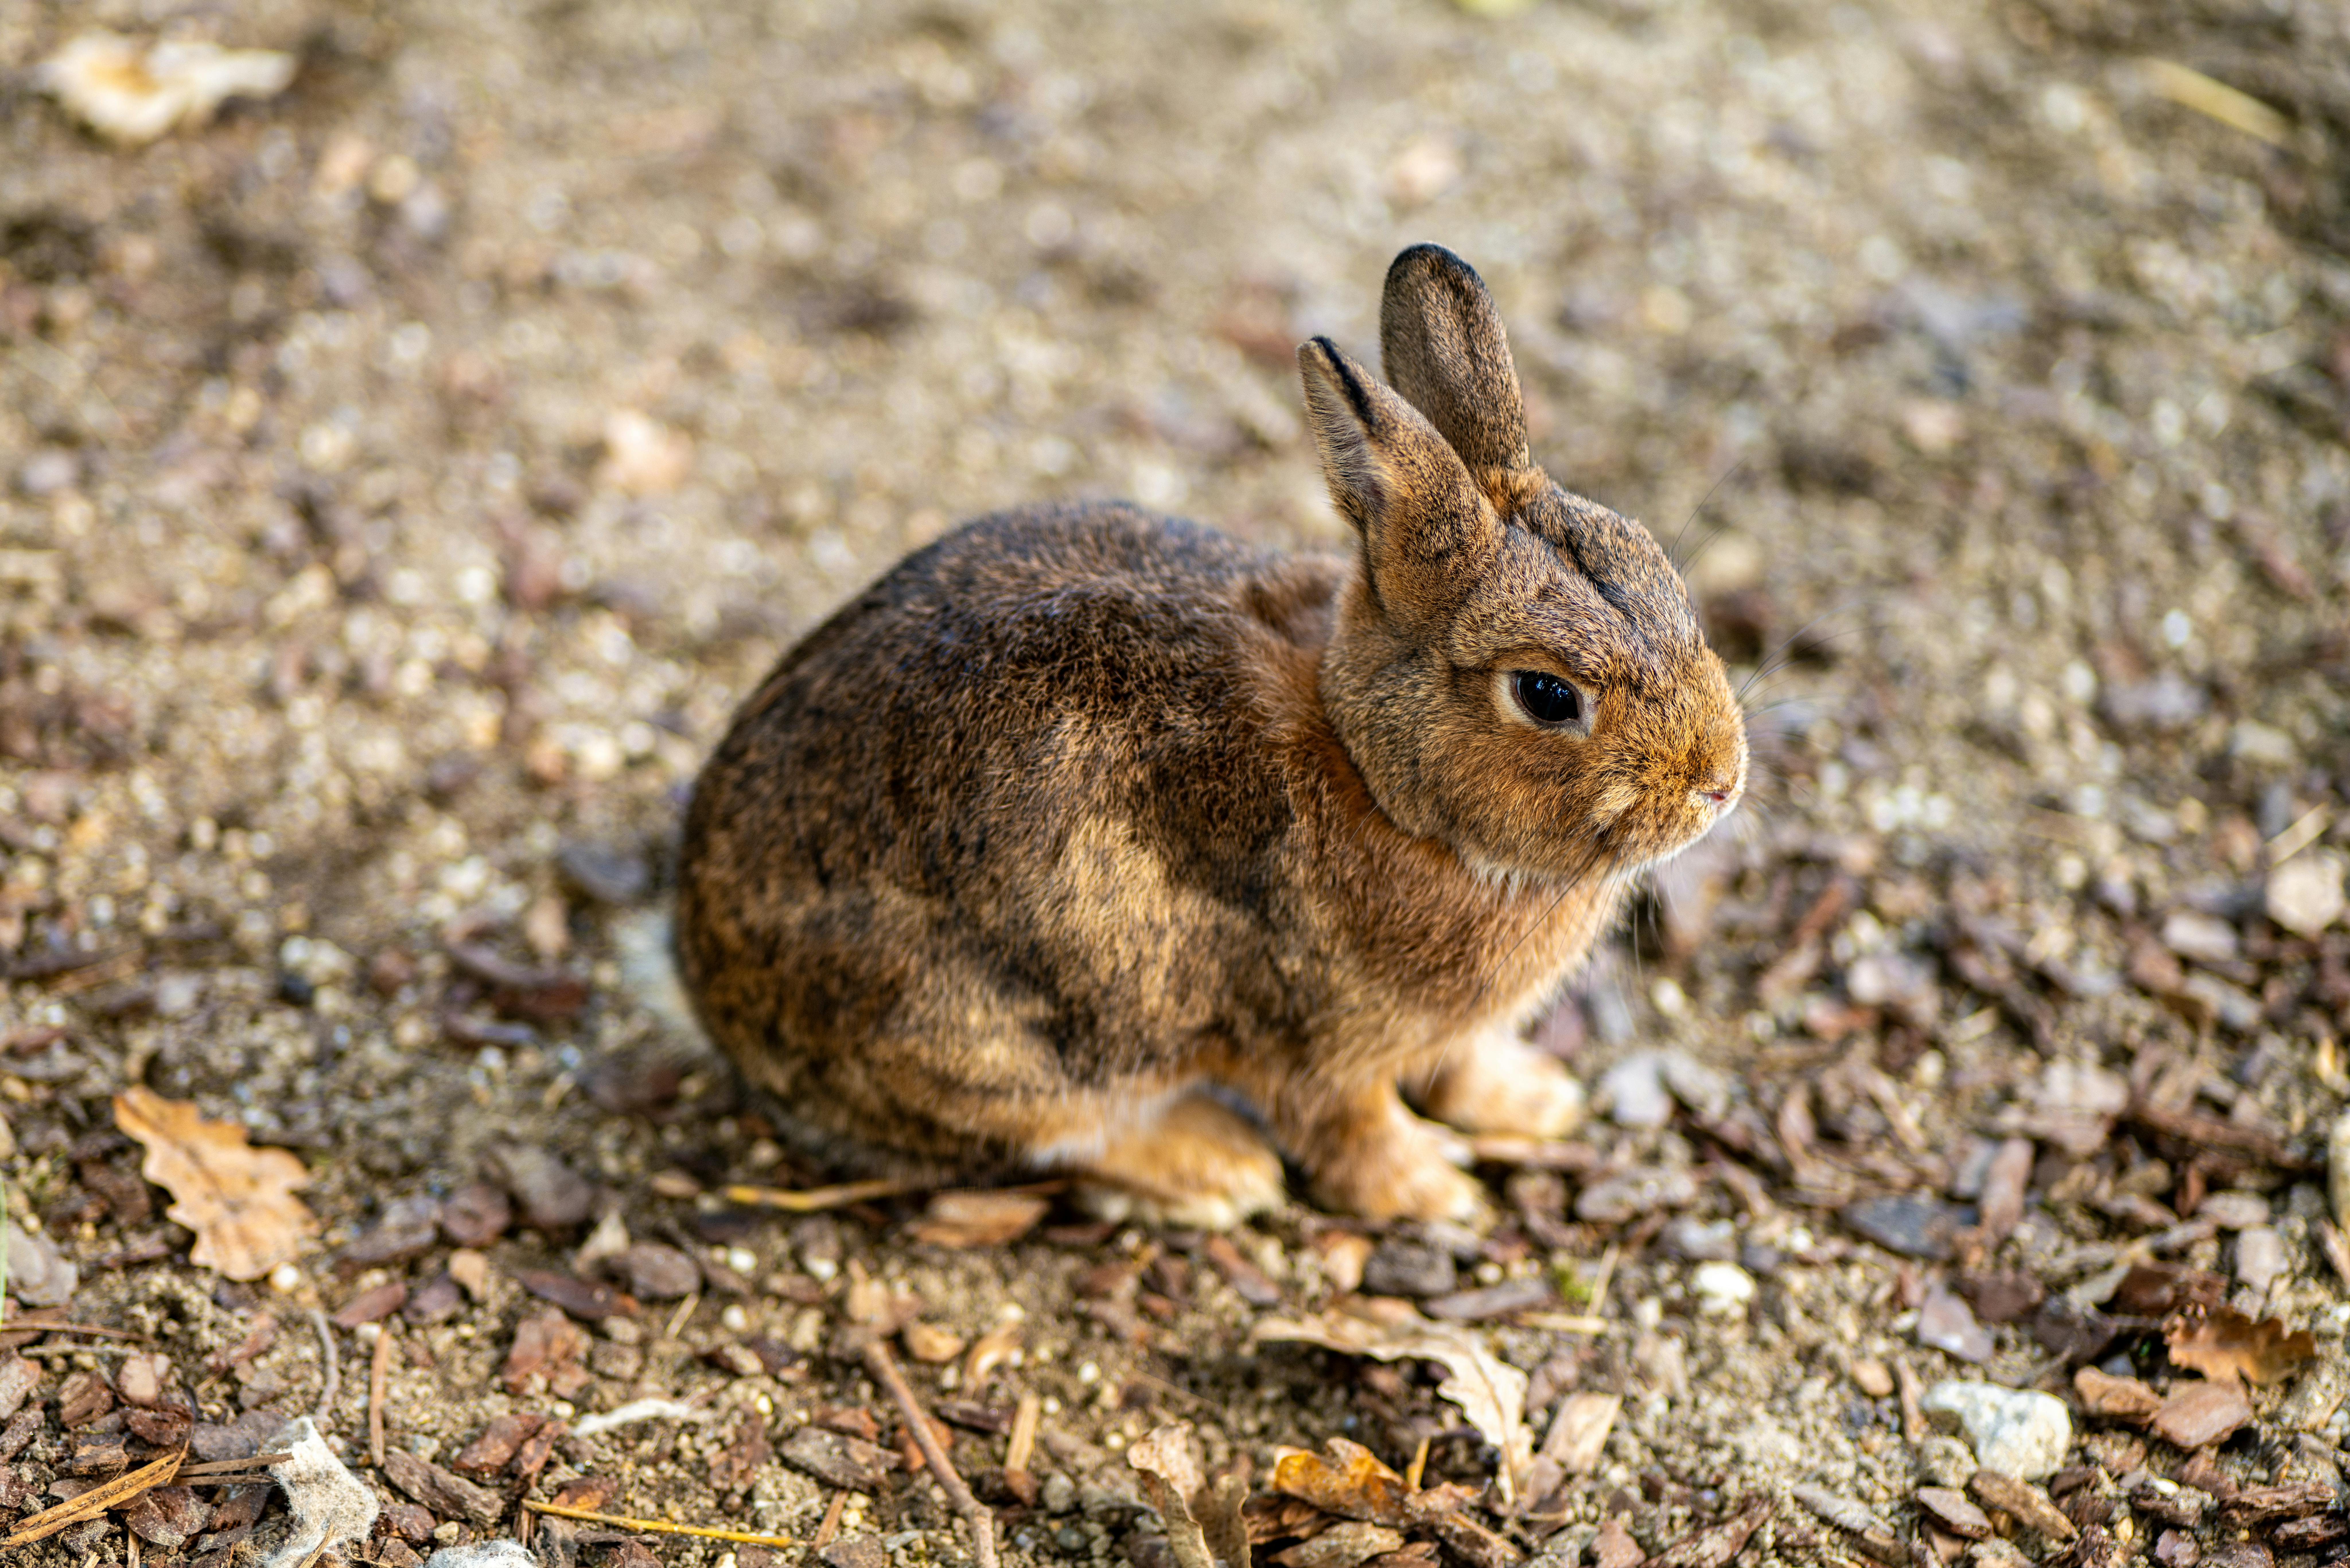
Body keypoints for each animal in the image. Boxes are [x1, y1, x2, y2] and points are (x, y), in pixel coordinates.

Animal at [675, 243, 1747, 1226]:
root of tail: (705, 969)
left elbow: (1465, 1065)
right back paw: (1218, 1166)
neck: (1372, 771)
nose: (1721, 782)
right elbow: (1350, 1125)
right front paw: (1434, 1194)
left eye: (1662, 571)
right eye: (1546, 693)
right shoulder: (1315, 1038)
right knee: (1065, 1129)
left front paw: (1535, 1102)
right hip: (1012, 1036)